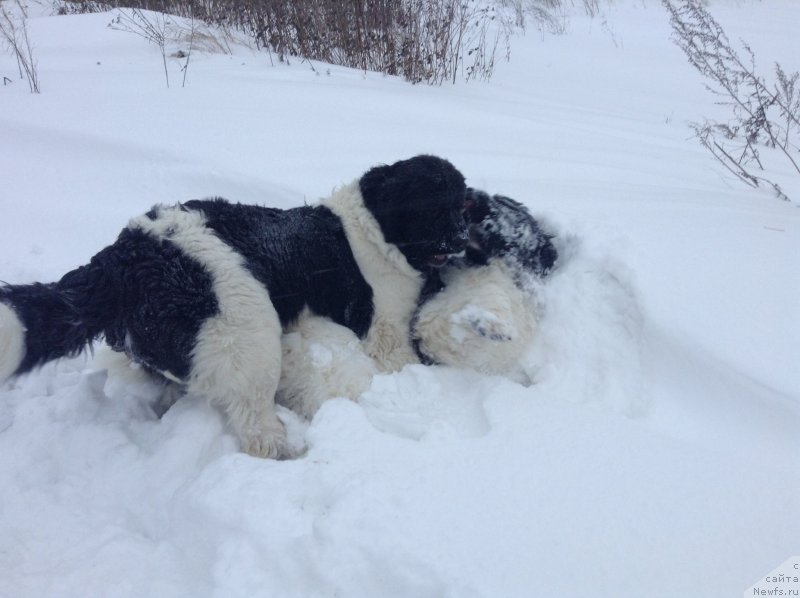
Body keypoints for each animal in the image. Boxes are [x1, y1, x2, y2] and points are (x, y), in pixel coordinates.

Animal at [0, 155, 468, 460]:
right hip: (246, 324)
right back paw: (284, 444)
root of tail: (124, 257)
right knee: (253, 417)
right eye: (432, 207)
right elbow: (400, 358)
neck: (377, 229)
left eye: (461, 203)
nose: (464, 239)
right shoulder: (385, 333)